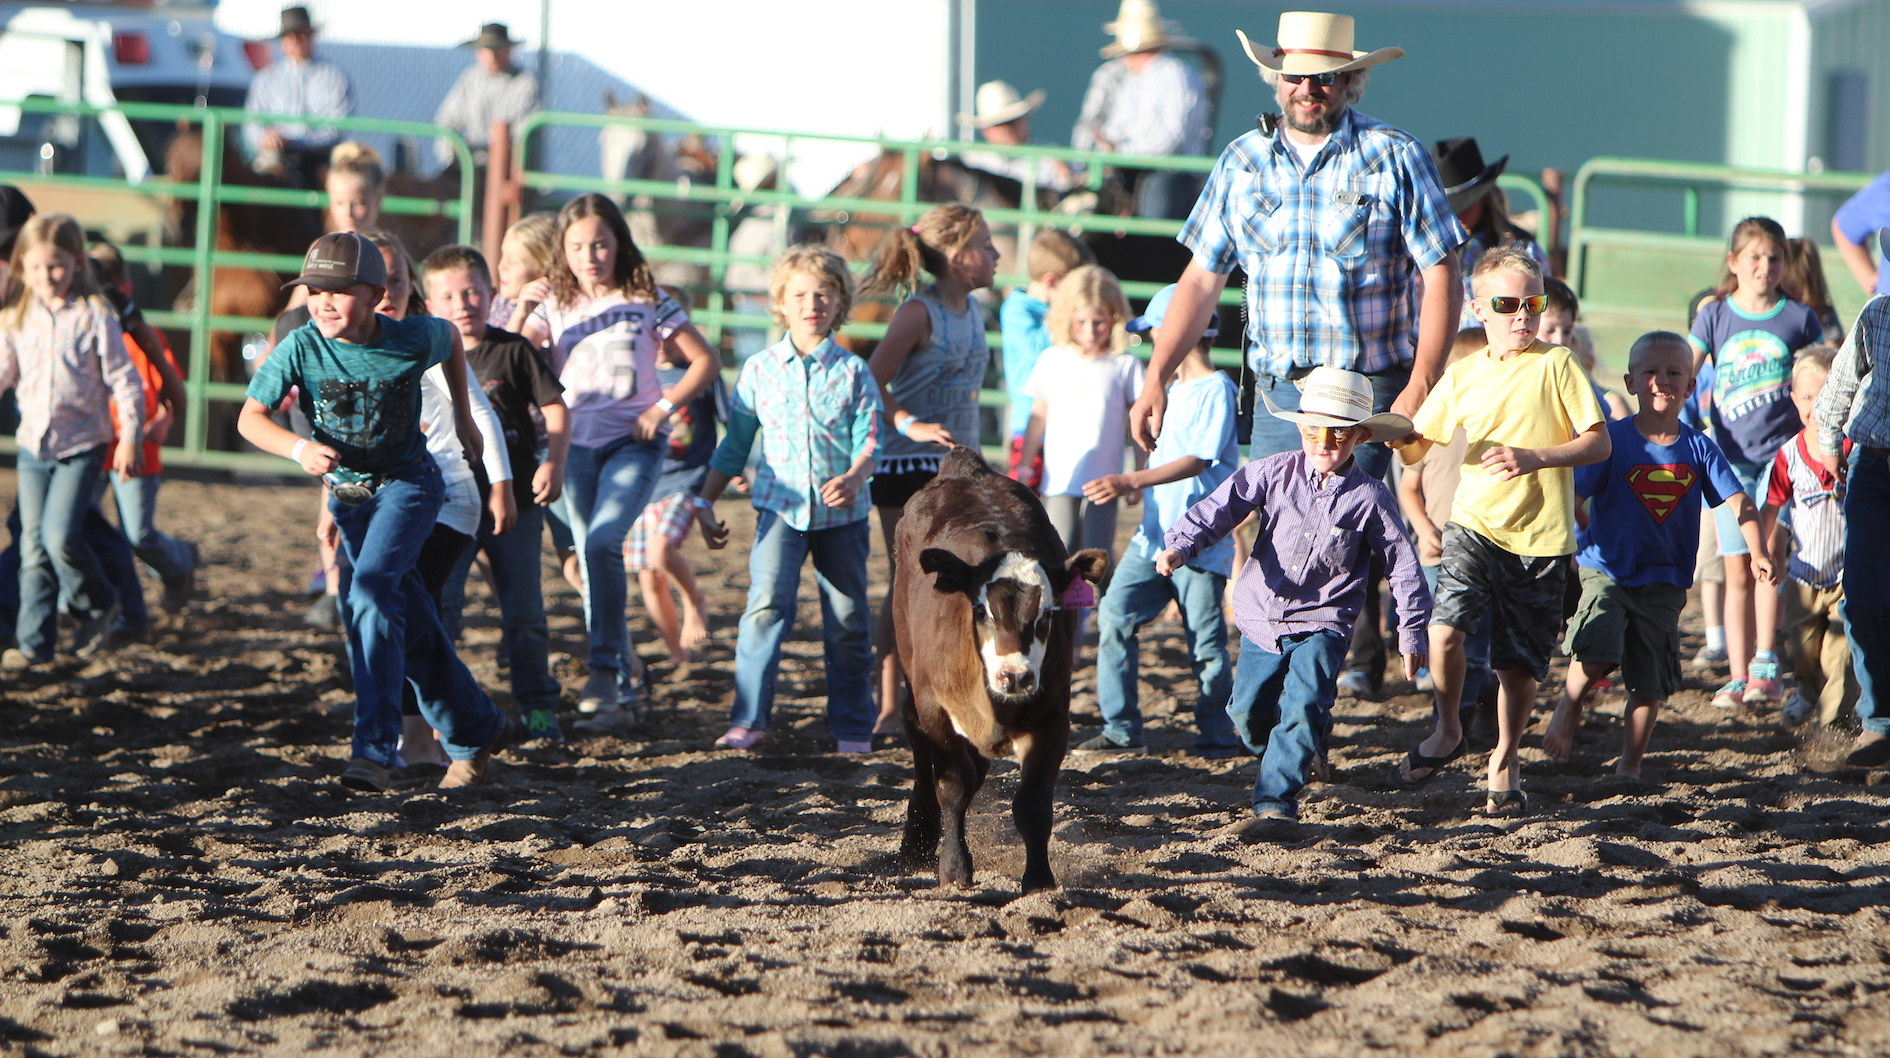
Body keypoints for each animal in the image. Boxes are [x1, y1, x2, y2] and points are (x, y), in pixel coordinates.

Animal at [891, 446, 1110, 893]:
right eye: (981, 611)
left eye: (1047, 614)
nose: (1016, 676)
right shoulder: (936, 705)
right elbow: (952, 784)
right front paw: (954, 867)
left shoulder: (1051, 716)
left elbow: (1033, 802)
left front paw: (1039, 880)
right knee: (919, 743)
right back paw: (916, 842)